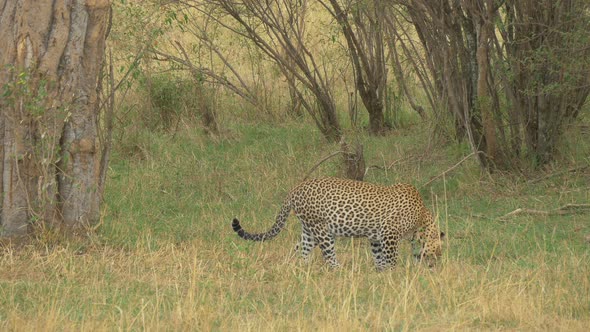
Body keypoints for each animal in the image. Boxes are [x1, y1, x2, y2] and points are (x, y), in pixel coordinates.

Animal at [231, 176, 444, 270]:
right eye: (434, 255)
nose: (433, 267)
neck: (422, 218)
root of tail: (295, 188)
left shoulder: (376, 238)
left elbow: (379, 257)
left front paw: (380, 273)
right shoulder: (389, 234)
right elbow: (391, 259)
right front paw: (393, 274)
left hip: (309, 230)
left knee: (301, 250)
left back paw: (303, 270)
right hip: (322, 229)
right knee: (329, 256)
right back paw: (340, 271)